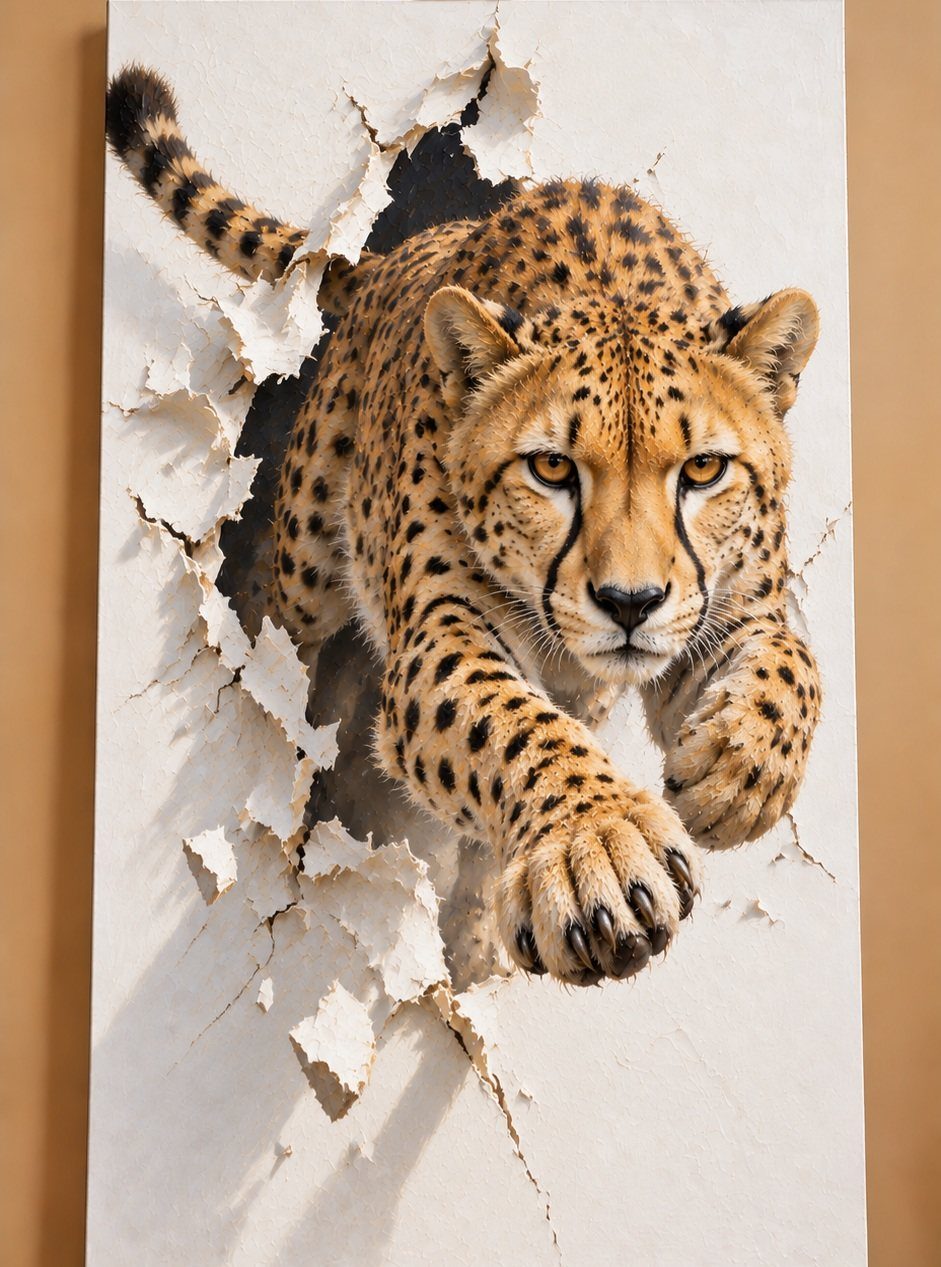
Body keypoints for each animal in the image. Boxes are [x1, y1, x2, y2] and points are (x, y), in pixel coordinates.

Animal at [106, 66, 822, 986]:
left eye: (702, 470)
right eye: (550, 468)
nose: (629, 603)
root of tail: (394, 255)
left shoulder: (723, 606)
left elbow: (791, 664)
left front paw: (740, 772)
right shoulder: (445, 629)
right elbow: (510, 723)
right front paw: (594, 843)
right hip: (309, 561)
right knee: (283, 634)